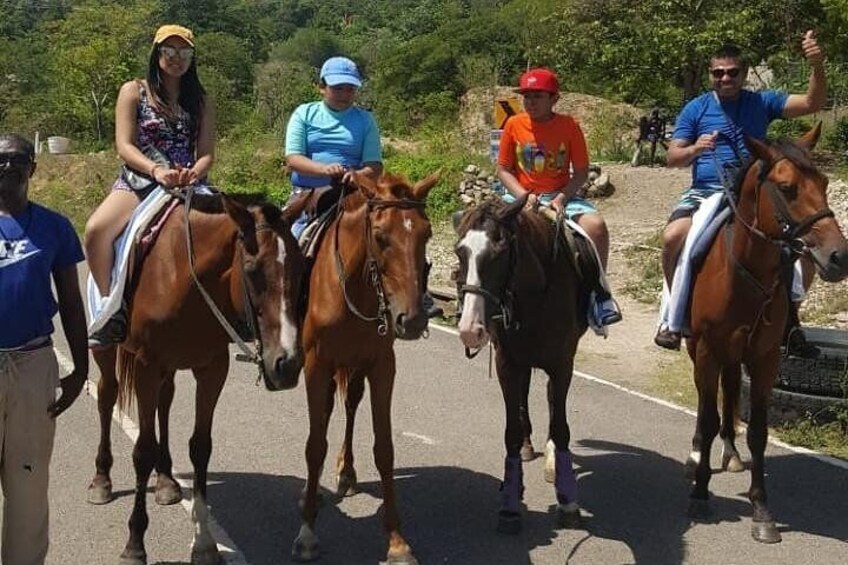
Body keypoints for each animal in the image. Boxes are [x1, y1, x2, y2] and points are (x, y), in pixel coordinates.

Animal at [87, 192, 308, 560]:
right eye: (253, 271)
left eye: (301, 267)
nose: (287, 363)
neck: (183, 276)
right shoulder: (147, 366)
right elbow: (142, 451)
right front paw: (135, 543)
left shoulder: (212, 368)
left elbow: (200, 446)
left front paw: (204, 542)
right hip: (106, 350)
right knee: (106, 397)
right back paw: (102, 479)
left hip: (169, 367)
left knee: (163, 404)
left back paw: (165, 480)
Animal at [292, 171, 438, 564]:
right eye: (381, 236)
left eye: (426, 233)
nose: (412, 319)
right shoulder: (316, 365)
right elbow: (314, 445)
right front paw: (307, 532)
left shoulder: (382, 365)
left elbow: (384, 448)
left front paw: (397, 541)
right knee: (326, 413)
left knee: (349, 403)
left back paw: (346, 472)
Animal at [458, 197, 588, 532]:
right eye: (460, 251)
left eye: (500, 251)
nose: (470, 329)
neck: (534, 295)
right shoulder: (507, 363)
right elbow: (512, 431)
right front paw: (510, 505)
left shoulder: (562, 364)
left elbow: (561, 426)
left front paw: (568, 501)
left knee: (551, 400)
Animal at [688, 124, 848, 540]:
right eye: (787, 187)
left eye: (825, 183)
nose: (839, 257)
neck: (746, 273)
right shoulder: (708, 350)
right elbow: (707, 418)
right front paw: (699, 494)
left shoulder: (764, 358)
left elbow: (758, 431)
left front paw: (761, 511)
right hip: (701, 352)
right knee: (708, 407)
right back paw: (697, 453)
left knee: (729, 393)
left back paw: (730, 454)